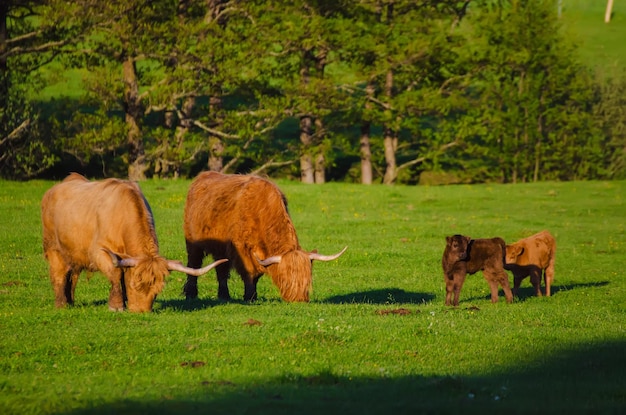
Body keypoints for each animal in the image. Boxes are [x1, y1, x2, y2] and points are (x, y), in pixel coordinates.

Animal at [39, 172, 224, 312]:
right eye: (135, 284)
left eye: (157, 290)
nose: (141, 311)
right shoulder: (99, 252)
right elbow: (115, 274)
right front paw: (116, 306)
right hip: (53, 247)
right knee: (59, 273)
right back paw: (61, 304)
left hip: (74, 252)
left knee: (72, 274)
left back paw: (70, 301)